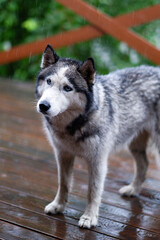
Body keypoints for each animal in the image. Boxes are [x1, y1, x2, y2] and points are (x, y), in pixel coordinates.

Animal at [36, 44, 160, 229]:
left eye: (67, 88)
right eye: (49, 81)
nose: (43, 105)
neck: (74, 125)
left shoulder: (98, 161)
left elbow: (93, 191)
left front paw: (89, 217)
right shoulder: (63, 155)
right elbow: (63, 184)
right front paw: (58, 206)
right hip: (134, 145)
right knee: (144, 164)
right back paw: (132, 190)